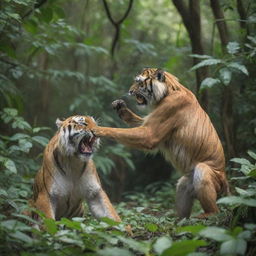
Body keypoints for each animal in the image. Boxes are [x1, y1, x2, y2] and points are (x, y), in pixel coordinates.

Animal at [91, 67, 230, 218]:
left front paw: (95, 128)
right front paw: (120, 107)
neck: (166, 93)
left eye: (139, 82)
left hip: (204, 171)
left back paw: (206, 215)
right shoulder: (150, 122)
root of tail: (226, 182)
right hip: (184, 184)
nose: (130, 91)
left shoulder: (151, 133)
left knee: (215, 210)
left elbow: (118, 131)